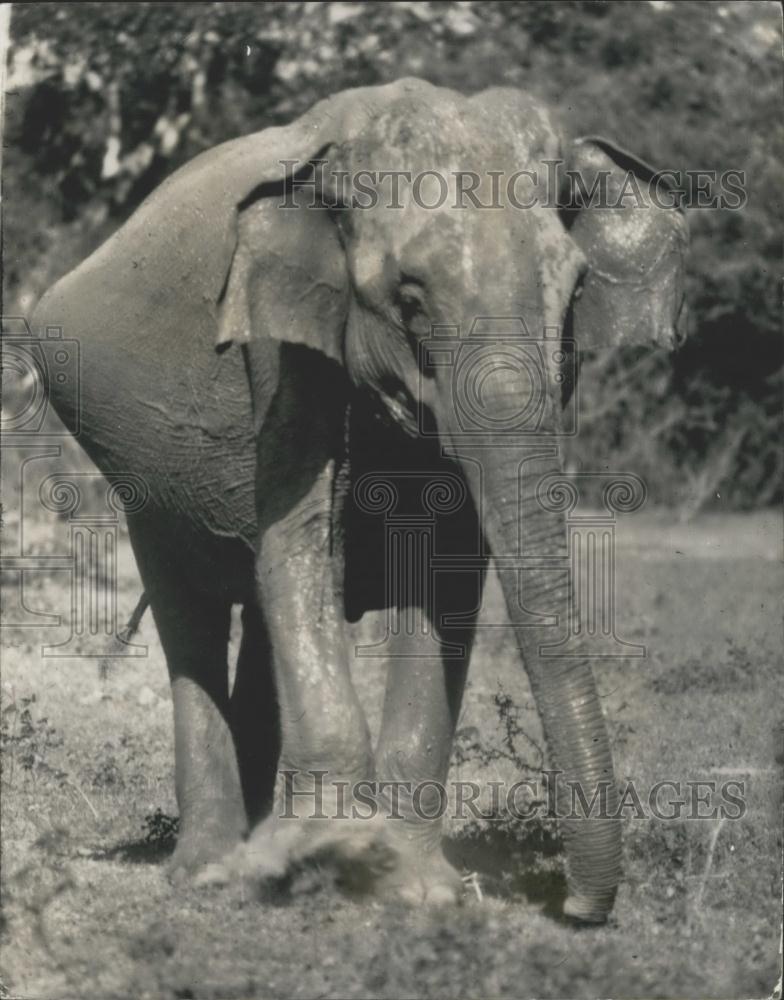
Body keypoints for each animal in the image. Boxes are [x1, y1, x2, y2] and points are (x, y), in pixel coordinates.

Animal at [32, 77, 688, 922]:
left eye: (576, 294)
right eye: (409, 298)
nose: (576, 909)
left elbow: (447, 569)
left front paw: (413, 888)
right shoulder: (279, 347)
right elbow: (297, 536)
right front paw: (334, 867)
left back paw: (256, 848)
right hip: (134, 466)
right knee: (191, 610)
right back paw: (209, 871)